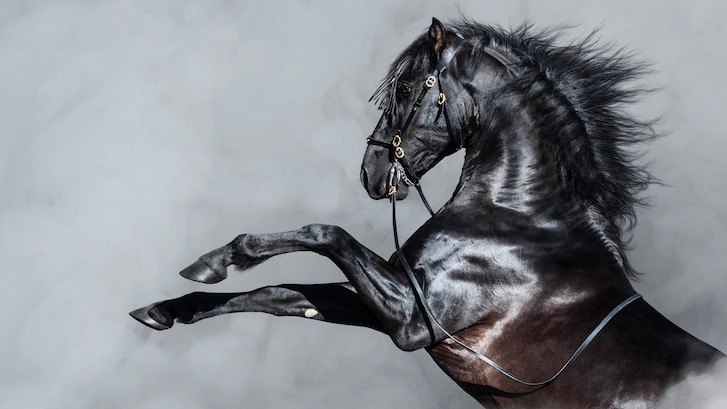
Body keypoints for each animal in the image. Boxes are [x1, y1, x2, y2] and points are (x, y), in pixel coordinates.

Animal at [130, 18, 725, 408]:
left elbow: (325, 234)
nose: (371, 172)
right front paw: (166, 308)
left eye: (406, 86)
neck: (520, 220)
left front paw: (221, 258)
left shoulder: (414, 319)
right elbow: (284, 296)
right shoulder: (397, 302)